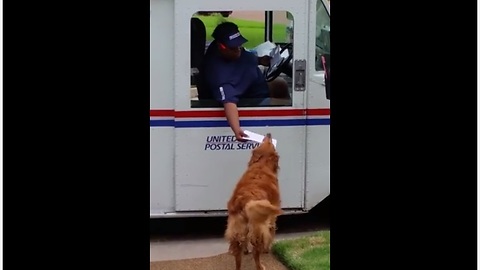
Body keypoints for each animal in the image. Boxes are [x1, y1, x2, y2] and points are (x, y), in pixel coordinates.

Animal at [224, 133, 282, 270]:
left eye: (264, 141)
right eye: (271, 143)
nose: (268, 134)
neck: (261, 164)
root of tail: (243, 200)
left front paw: (246, 250)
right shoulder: (272, 216)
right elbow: (272, 231)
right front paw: (267, 249)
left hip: (237, 230)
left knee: (238, 255)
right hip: (258, 229)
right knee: (256, 253)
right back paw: (260, 266)